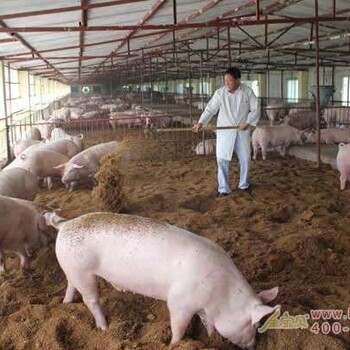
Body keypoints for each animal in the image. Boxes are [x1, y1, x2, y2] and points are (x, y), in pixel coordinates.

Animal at [46, 212, 280, 348]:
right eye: (255, 324)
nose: (253, 346)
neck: (221, 294)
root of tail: (65, 225)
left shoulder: (202, 306)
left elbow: (208, 323)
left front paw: (210, 336)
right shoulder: (179, 302)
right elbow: (178, 326)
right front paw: (174, 344)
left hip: (71, 268)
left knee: (70, 285)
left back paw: (66, 303)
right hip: (82, 270)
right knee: (91, 300)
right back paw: (104, 328)